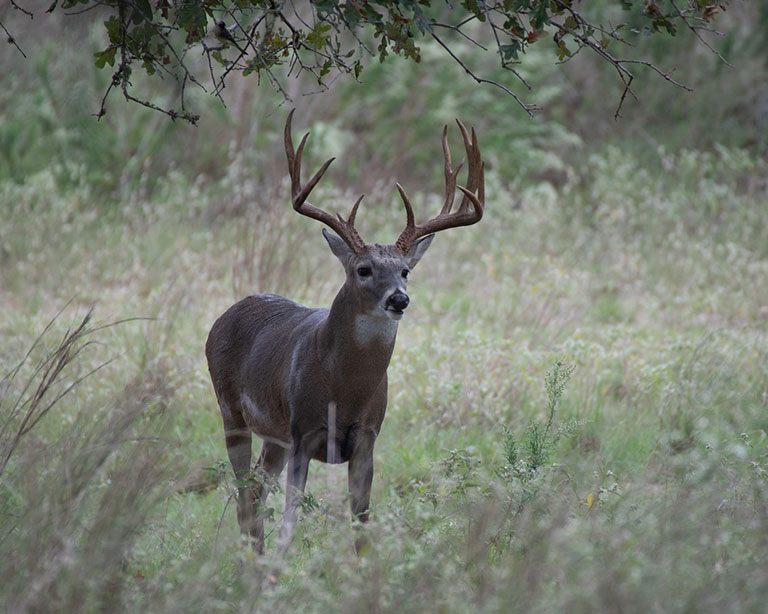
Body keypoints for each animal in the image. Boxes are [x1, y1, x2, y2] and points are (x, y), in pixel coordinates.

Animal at [207, 109, 484, 576]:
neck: (345, 387)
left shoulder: (368, 436)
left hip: (274, 435)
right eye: (364, 269)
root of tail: (226, 314)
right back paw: (251, 566)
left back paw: (254, 561)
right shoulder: (304, 431)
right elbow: (292, 518)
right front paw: (278, 574)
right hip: (233, 412)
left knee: (257, 490)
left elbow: (361, 524)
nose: (399, 299)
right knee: (245, 493)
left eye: (406, 271)